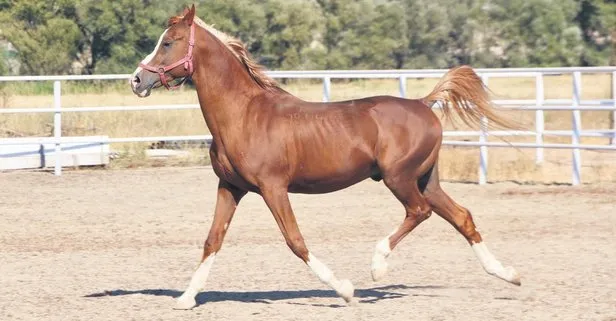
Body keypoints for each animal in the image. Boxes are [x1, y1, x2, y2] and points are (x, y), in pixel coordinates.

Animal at [129, 5, 520, 308]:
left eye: (168, 42)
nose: (136, 80)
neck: (243, 115)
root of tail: (423, 104)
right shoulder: (230, 187)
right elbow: (213, 239)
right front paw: (186, 298)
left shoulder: (273, 188)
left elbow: (295, 240)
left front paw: (345, 290)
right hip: (426, 179)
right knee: (461, 216)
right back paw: (508, 275)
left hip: (399, 178)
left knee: (419, 211)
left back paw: (378, 266)